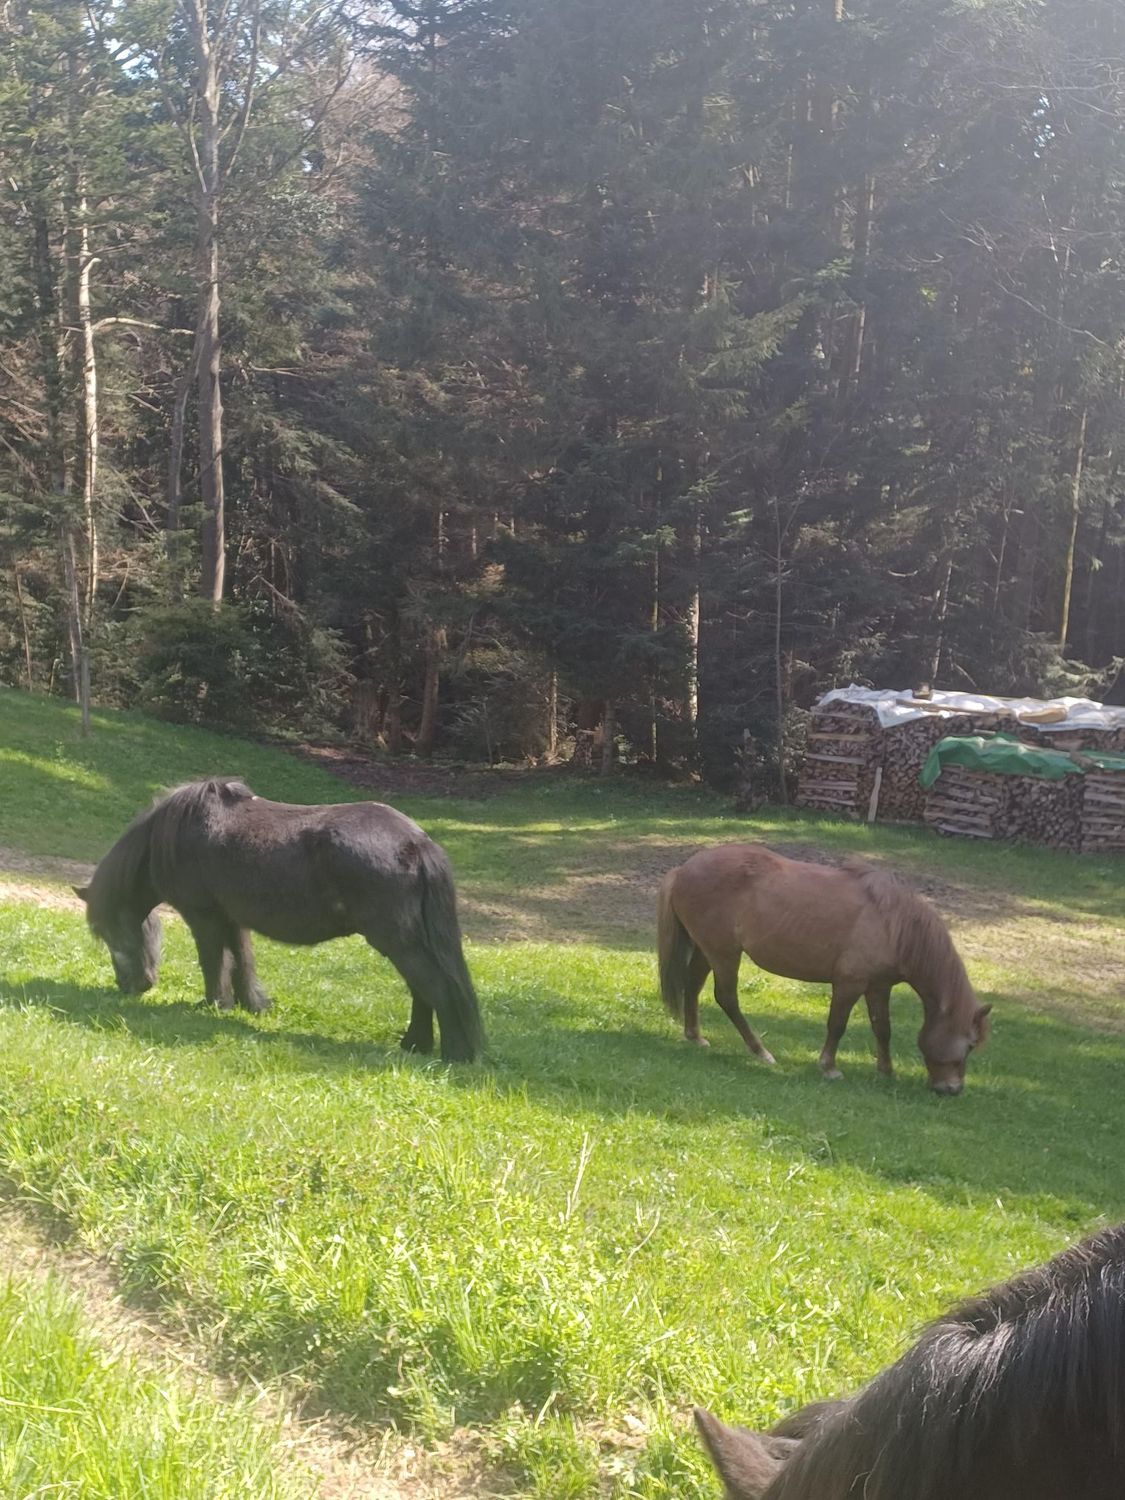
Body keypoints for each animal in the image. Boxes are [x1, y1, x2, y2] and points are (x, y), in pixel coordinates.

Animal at [75, 777, 484, 1063]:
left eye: (109, 932)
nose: (132, 985)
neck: (176, 834)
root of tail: (416, 841)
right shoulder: (232, 917)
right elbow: (241, 960)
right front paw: (251, 1004)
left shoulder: (204, 916)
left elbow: (213, 961)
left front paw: (214, 1003)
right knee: (423, 989)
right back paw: (416, 1044)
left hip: (396, 940)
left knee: (435, 987)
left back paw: (455, 1054)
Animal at [657, 844, 989, 1093]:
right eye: (971, 1045)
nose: (951, 1089)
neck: (893, 923)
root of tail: (682, 870)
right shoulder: (849, 984)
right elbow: (837, 1025)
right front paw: (829, 1068)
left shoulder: (878, 987)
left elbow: (882, 1028)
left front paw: (886, 1071)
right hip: (724, 954)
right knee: (726, 998)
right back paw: (761, 1052)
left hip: (707, 950)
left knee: (693, 985)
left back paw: (695, 1036)